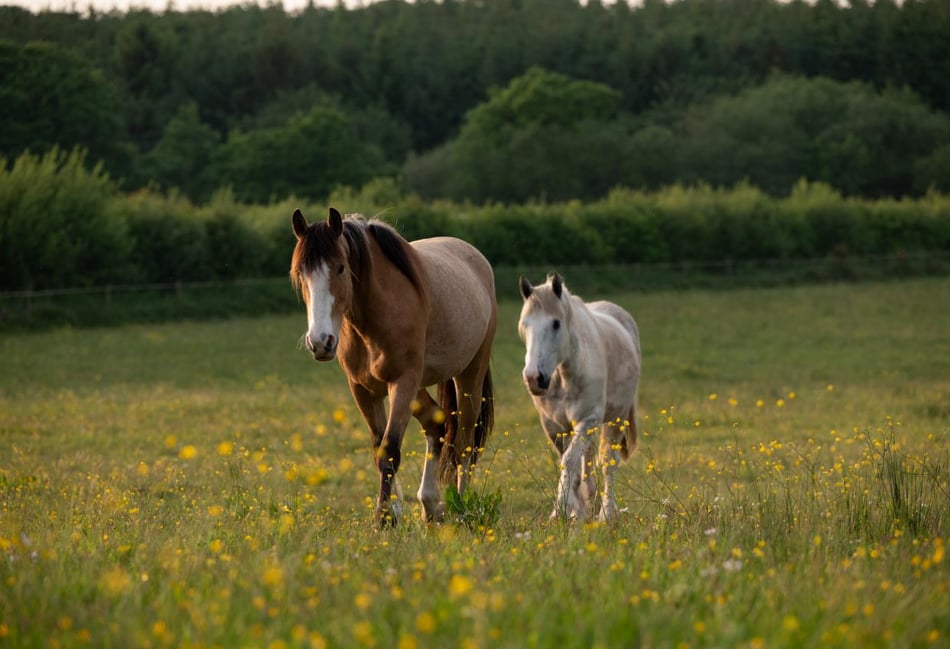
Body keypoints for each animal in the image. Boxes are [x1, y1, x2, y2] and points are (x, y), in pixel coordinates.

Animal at [291, 207, 497, 526]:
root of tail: (476, 259)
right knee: (437, 423)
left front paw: (384, 519)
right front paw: (393, 512)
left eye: (340, 268)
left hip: (468, 374)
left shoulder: (402, 382)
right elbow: (380, 448)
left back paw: (460, 504)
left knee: (464, 440)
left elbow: (390, 449)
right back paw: (430, 504)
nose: (320, 342)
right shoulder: (363, 389)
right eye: (301, 272)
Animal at [518, 273, 640, 522]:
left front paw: (563, 508)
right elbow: (570, 466)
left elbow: (570, 460)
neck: (564, 375)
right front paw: (571, 511)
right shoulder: (555, 427)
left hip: (616, 420)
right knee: (589, 463)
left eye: (556, 323)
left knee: (608, 465)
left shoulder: (587, 420)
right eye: (525, 324)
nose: (534, 378)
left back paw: (606, 515)